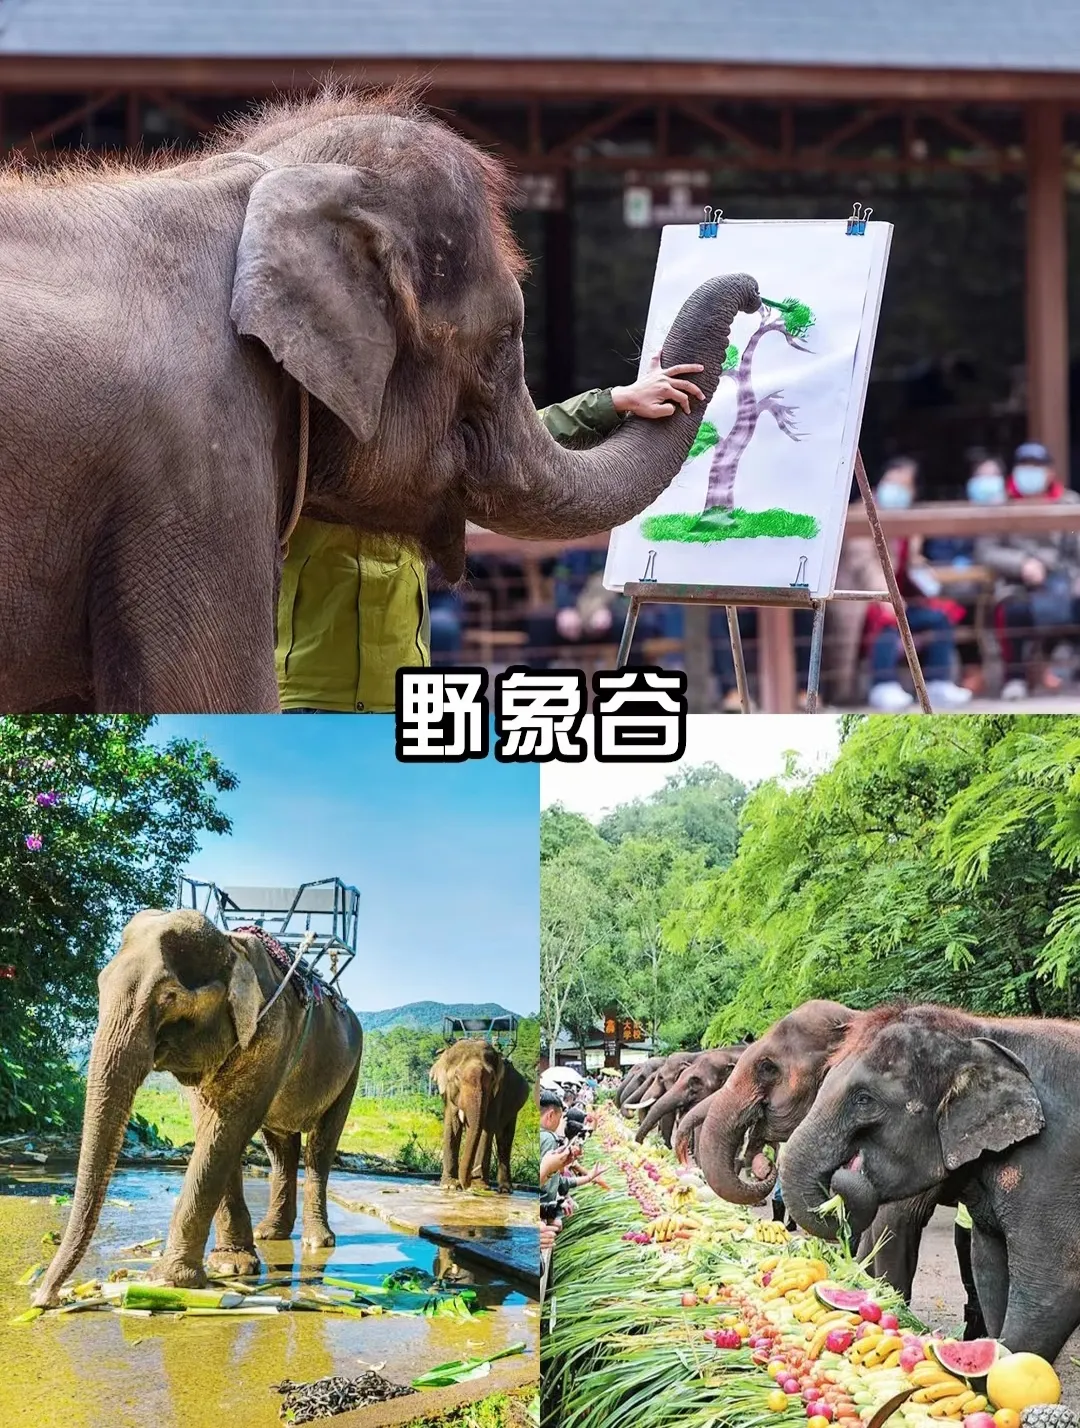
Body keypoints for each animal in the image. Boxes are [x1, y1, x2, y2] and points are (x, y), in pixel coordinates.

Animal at [34, 909, 363, 1307]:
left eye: (169, 996)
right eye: (100, 986)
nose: (46, 1299)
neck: (231, 946)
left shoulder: (273, 1033)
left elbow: (227, 1126)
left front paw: (169, 1282)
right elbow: (211, 1125)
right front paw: (230, 1266)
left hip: (351, 1069)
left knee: (320, 1147)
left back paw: (318, 1240)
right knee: (280, 1147)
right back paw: (271, 1234)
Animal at [432, 1039, 503, 1192]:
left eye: (492, 1079)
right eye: (457, 1077)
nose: (466, 1185)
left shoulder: (495, 1094)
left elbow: (486, 1127)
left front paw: (479, 1186)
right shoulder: (449, 1094)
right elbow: (453, 1125)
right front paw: (450, 1185)